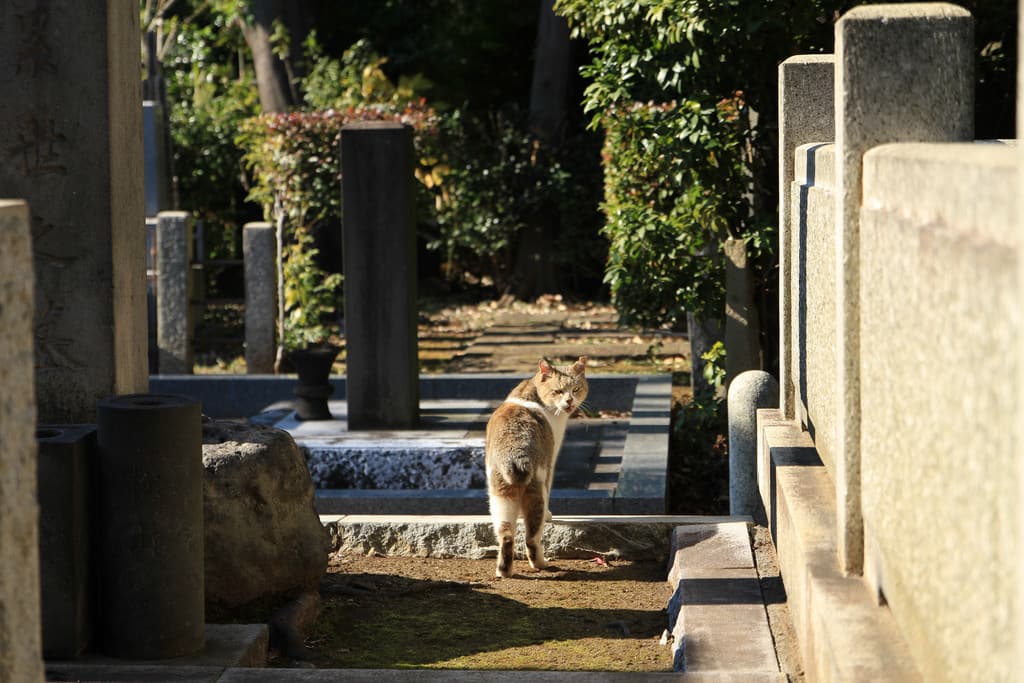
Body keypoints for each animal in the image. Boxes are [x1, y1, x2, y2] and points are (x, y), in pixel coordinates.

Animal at [483, 358, 589, 577]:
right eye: (558, 391)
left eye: (575, 389)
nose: (569, 401)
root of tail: (515, 453)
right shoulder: (551, 463)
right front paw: (550, 514)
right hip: (536, 491)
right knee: (531, 538)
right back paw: (541, 563)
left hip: (500, 496)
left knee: (506, 536)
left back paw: (504, 572)